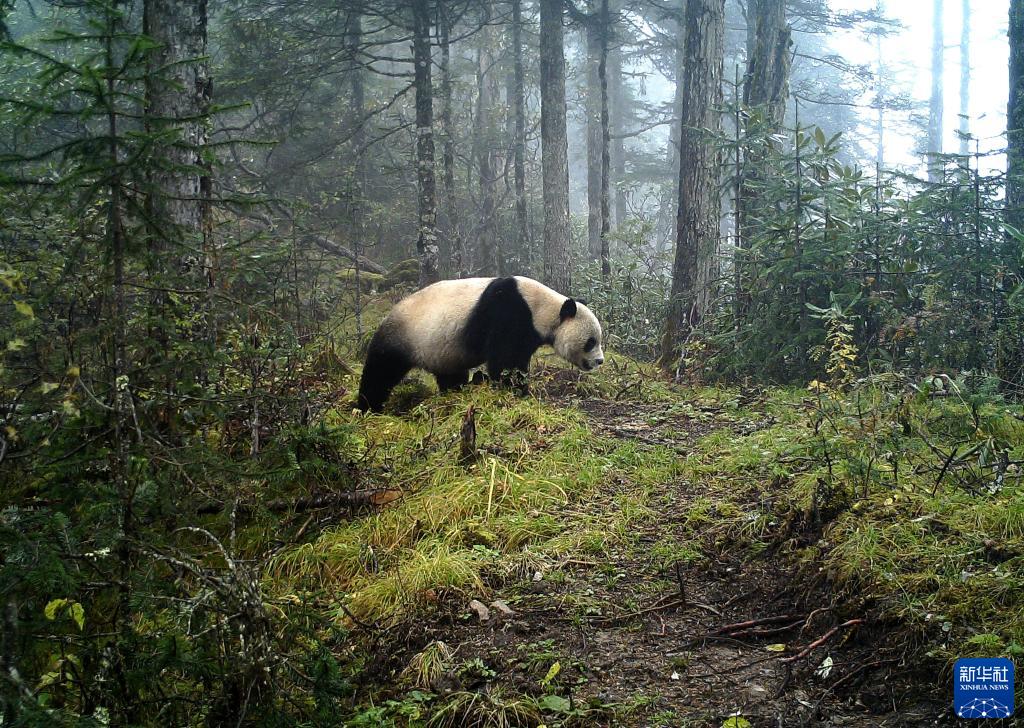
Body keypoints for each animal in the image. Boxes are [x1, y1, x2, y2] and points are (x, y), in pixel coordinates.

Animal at [356, 276, 602, 413]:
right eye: (591, 342)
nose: (599, 361)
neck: (543, 307)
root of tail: (388, 315)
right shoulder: (508, 312)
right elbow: (506, 360)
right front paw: (516, 390)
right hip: (403, 336)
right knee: (381, 371)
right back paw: (367, 407)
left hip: (442, 350)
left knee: (450, 375)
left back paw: (456, 390)